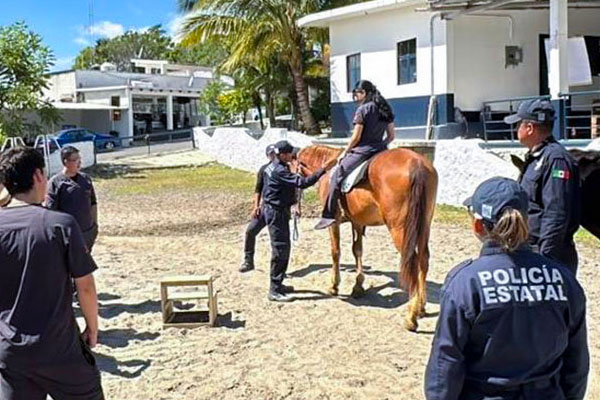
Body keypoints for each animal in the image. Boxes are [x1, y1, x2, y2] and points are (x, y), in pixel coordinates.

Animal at [298, 145, 438, 330]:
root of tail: (417, 163)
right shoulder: (357, 221)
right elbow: (357, 250)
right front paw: (358, 286)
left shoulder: (334, 222)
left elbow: (336, 251)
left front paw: (334, 285)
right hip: (424, 225)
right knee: (424, 259)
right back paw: (421, 307)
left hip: (400, 229)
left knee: (413, 262)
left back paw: (411, 317)